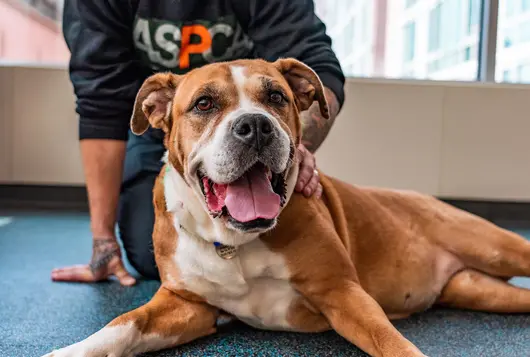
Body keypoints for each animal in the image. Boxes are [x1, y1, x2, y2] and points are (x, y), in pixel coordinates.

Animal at [44, 58, 528, 356]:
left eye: (277, 97)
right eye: (204, 103)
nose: (255, 125)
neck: (235, 242)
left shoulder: (344, 294)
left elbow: (390, 342)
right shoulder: (185, 305)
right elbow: (123, 324)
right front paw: (71, 350)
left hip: (498, 248)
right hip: (481, 290)